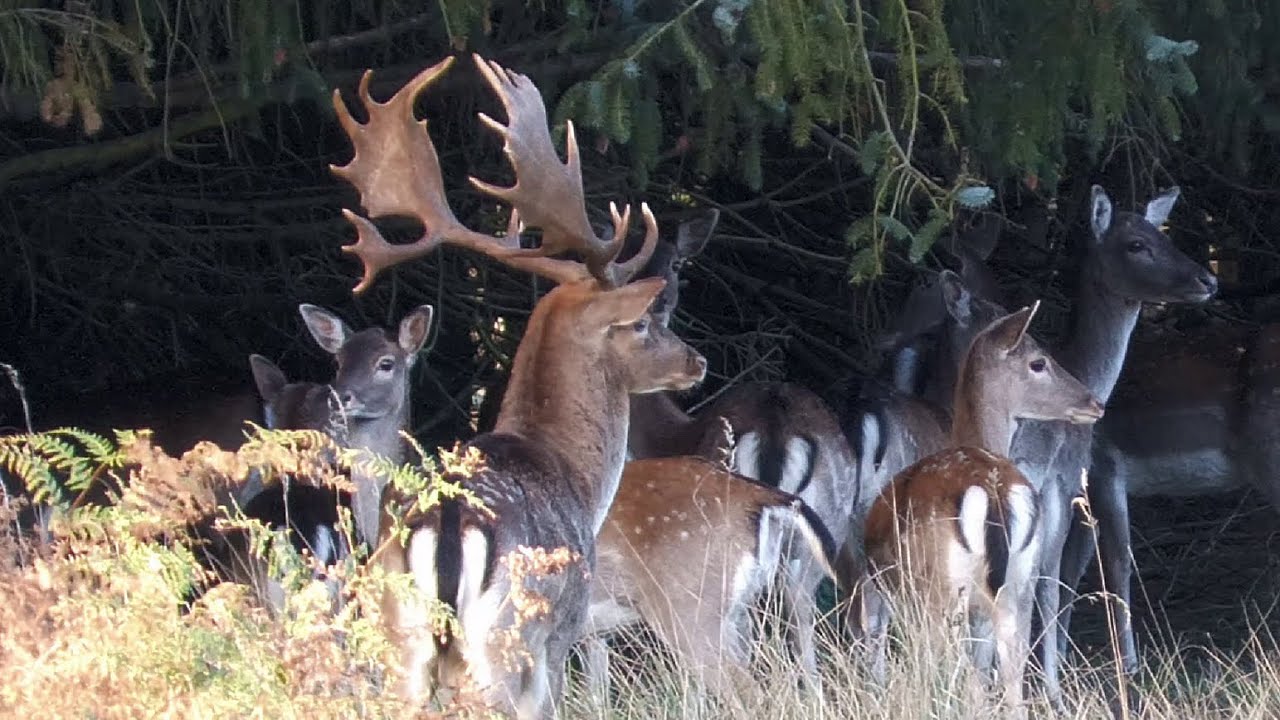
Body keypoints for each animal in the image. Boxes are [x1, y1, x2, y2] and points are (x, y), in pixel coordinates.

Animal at [329, 55, 707, 717]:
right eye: (641, 323)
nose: (696, 361)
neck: (579, 478)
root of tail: (447, 521)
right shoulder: (565, 635)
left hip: (397, 634)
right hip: (510, 639)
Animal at [861, 303, 1104, 714]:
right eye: (1039, 362)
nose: (1095, 403)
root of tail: (992, 495)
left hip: (940, 591)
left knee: (950, 674)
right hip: (1016, 586)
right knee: (1009, 679)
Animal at [1004, 185, 1216, 706]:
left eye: (1161, 231)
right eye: (1136, 245)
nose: (1208, 279)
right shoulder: (1066, 479)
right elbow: (1056, 577)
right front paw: (1053, 687)